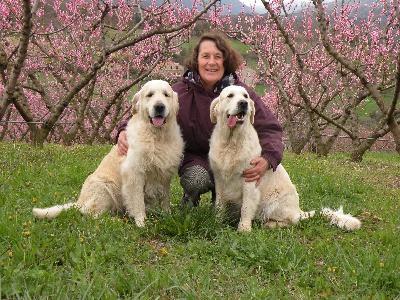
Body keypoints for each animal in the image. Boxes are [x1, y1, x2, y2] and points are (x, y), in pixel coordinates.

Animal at [32, 80, 184, 227]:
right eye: (150, 95)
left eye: (166, 95)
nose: (159, 107)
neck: (158, 137)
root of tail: (80, 202)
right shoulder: (134, 173)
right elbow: (138, 201)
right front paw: (142, 223)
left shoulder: (164, 175)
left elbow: (165, 198)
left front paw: (168, 216)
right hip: (105, 186)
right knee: (92, 215)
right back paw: (115, 221)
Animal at [208, 85, 360, 233]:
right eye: (230, 95)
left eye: (245, 96)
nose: (244, 103)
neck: (231, 141)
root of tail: (299, 211)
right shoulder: (220, 181)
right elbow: (219, 205)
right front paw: (216, 222)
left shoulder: (250, 181)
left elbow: (246, 208)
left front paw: (244, 228)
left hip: (273, 203)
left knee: (292, 221)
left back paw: (270, 224)